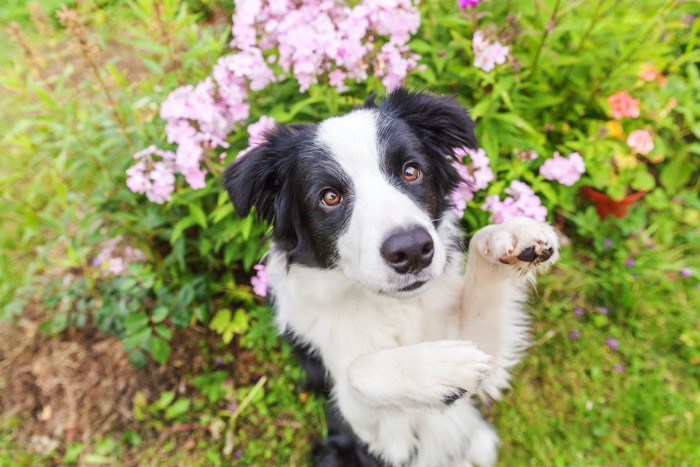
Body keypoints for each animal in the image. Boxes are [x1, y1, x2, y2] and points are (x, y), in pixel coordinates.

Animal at [224, 89, 556, 466]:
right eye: (329, 197)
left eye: (411, 171)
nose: (411, 250)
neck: (392, 307)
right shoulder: (376, 434)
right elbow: (357, 371)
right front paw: (439, 367)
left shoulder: (483, 365)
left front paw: (510, 234)